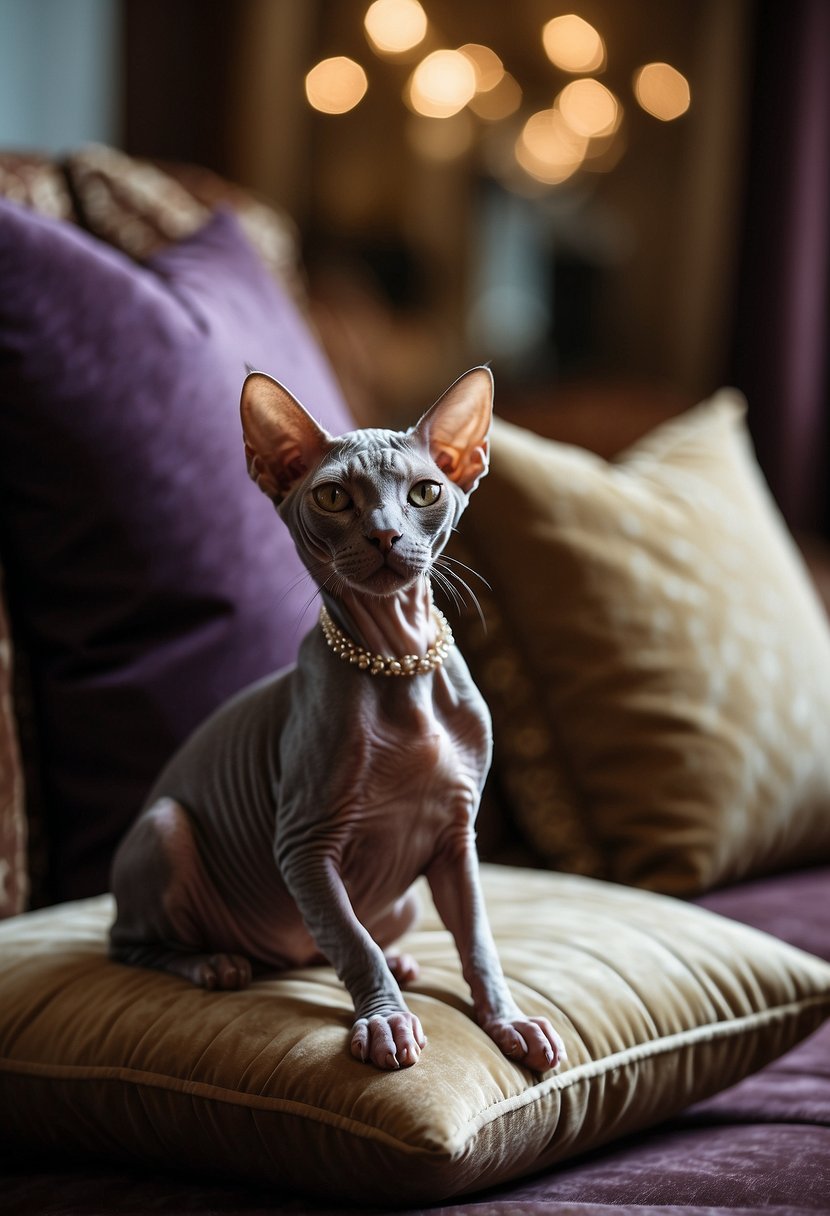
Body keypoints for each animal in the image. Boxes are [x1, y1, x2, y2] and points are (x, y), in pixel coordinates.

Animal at [108, 367, 563, 1074]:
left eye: (425, 491)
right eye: (331, 498)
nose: (384, 534)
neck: (400, 664)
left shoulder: (456, 839)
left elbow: (479, 942)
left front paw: (508, 1020)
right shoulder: (303, 846)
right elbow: (353, 943)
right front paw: (385, 1023)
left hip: (403, 899)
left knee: (334, 942)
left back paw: (401, 961)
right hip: (166, 829)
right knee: (127, 939)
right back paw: (212, 963)